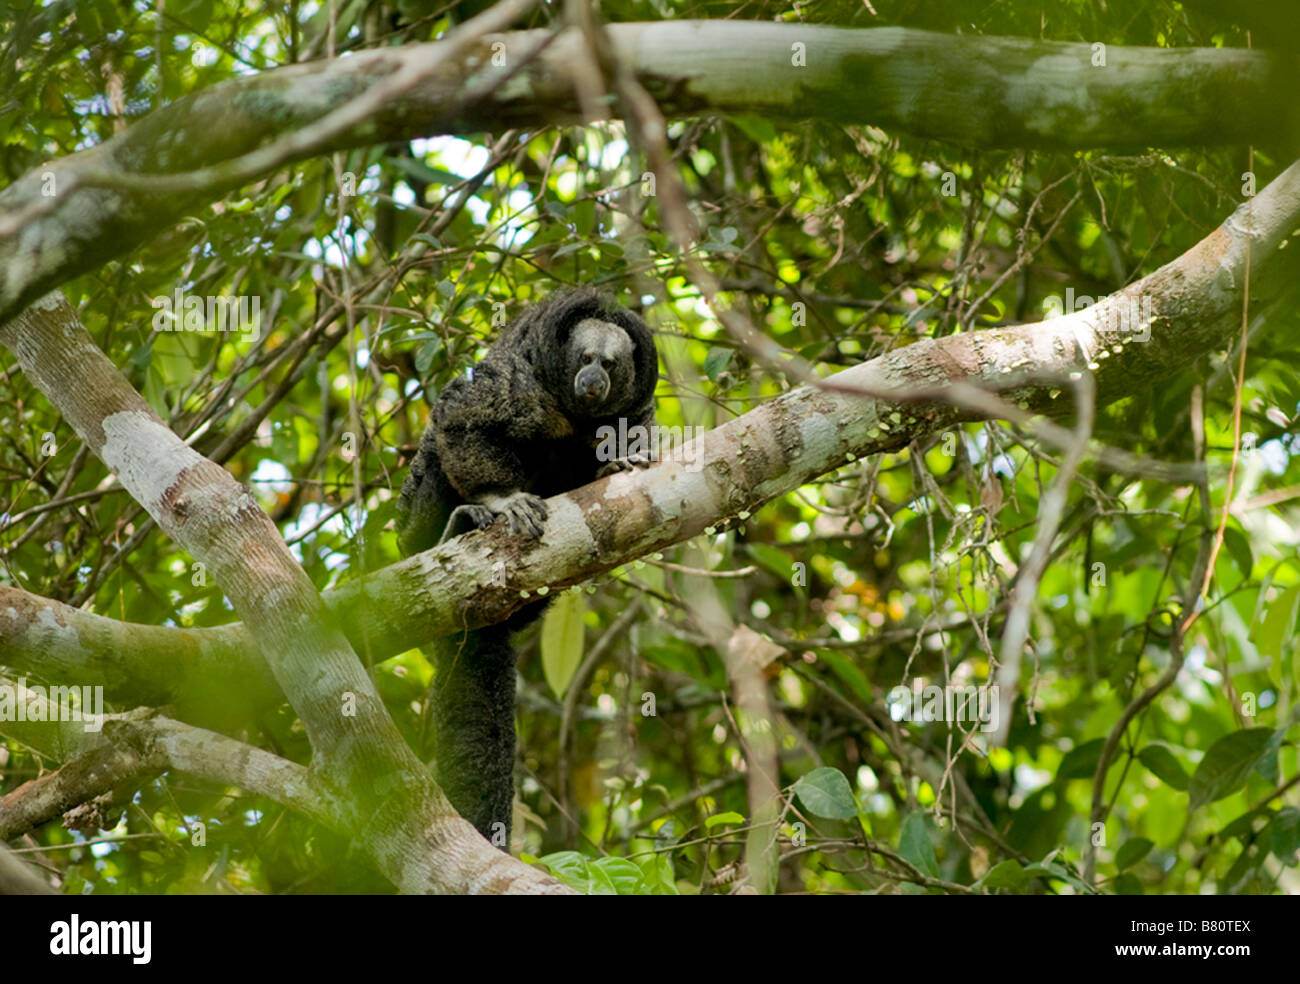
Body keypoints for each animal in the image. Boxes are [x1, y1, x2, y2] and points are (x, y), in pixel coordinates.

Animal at [392, 285, 660, 842]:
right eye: (585, 359)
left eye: (610, 364)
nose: (593, 380)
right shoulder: (522, 388)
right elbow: (460, 418)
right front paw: (501, 499)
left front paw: (620, 459)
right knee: (435, 469)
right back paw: (457, 526)